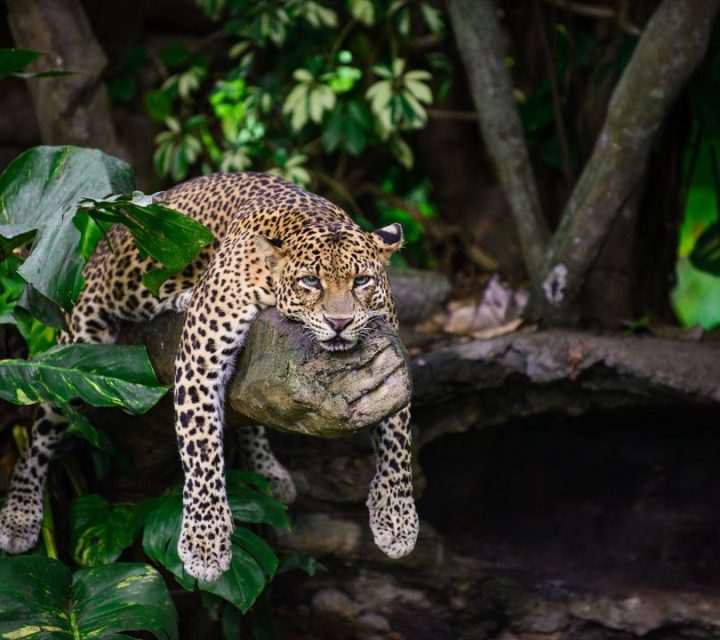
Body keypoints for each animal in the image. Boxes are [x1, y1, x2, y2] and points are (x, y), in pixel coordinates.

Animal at [0, 172, 419, 581]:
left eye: (361, 281)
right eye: (310, 282)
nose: (339, 322)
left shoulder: (393, 360)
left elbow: (397, 438)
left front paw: (397, 518)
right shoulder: (200, 358)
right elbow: (201, 448)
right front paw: (204, 542)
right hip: (77, 343)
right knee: (41, 430)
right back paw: (20, 513)